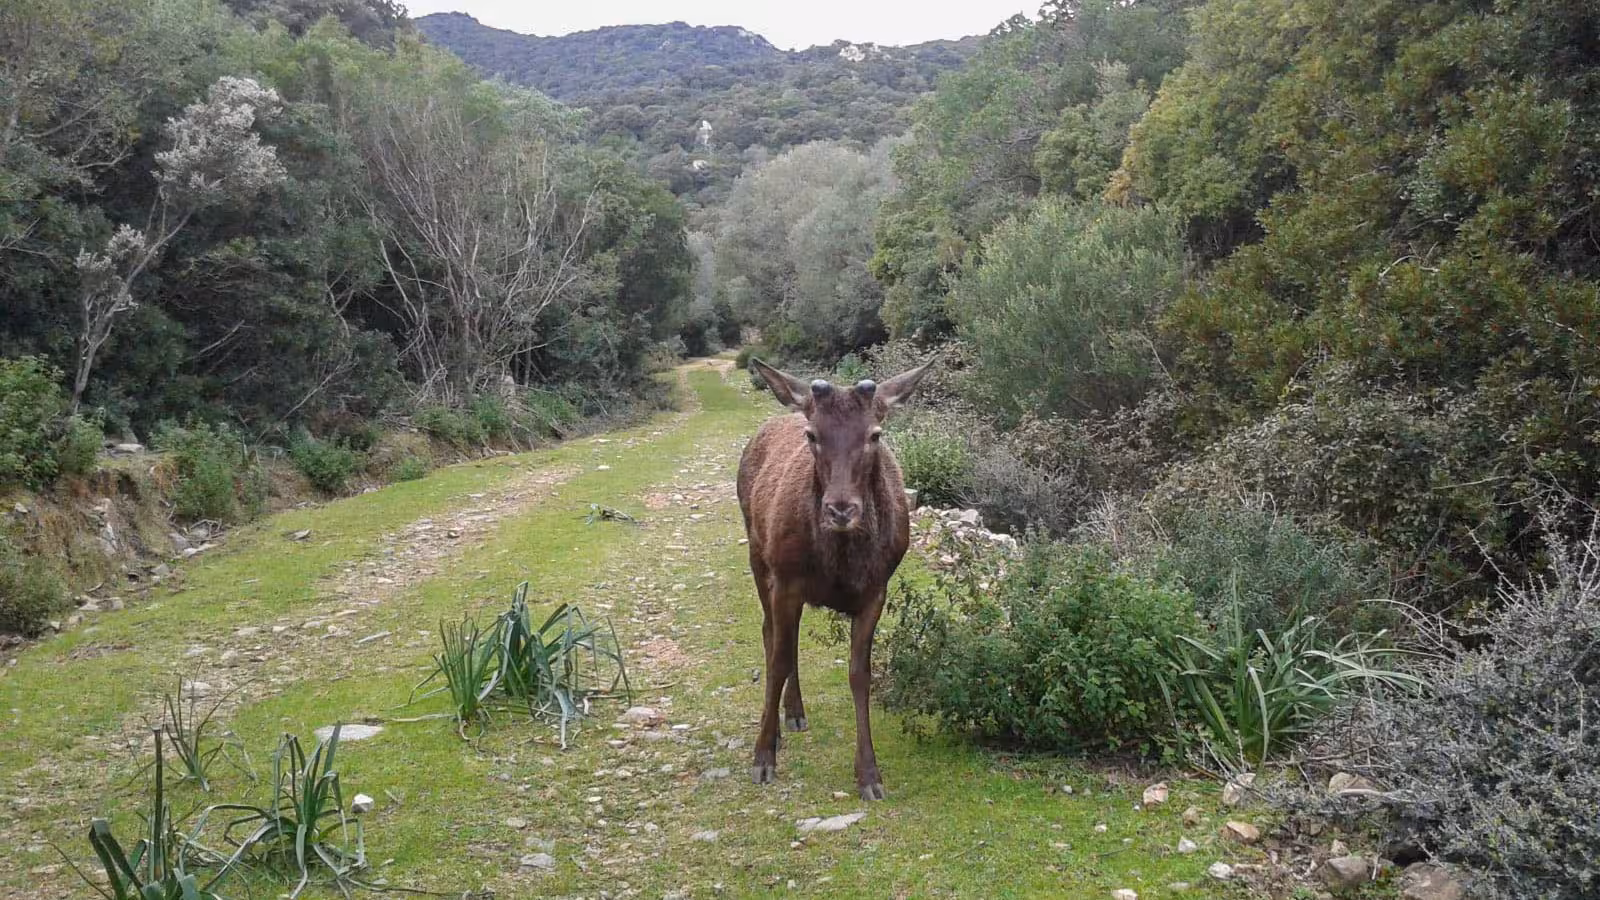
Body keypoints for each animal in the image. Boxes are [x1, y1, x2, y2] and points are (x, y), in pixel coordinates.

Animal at [736, 356, 933, 801]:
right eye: (812, 434)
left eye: (875, 433)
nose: (841, 508)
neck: (839, 563)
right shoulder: (787, 580)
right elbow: (778, 660)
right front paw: (762, 758)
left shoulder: (876, 590)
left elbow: (860, 675)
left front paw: (870, 775)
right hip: (757, 554)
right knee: (771, 634)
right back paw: (782, 722)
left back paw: (793, 713)